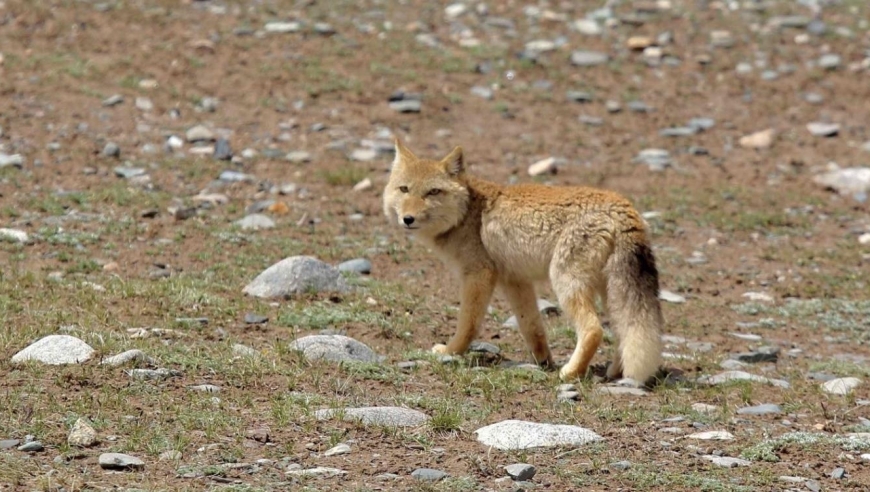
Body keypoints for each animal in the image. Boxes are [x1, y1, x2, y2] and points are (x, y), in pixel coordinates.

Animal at [384, 137, 668, 384]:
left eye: (433, 192)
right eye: (404, 189)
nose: (407, 219)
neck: (467, 213)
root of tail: (623, 208)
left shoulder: (478, 275)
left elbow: (468, 323)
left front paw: (451, 351)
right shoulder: (514, 280)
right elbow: (532, 326)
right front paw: (543, 361)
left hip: (566, 284)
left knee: (594, 329)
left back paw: (571, 373)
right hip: (609, 293)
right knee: (624, 331)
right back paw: (613, 373)